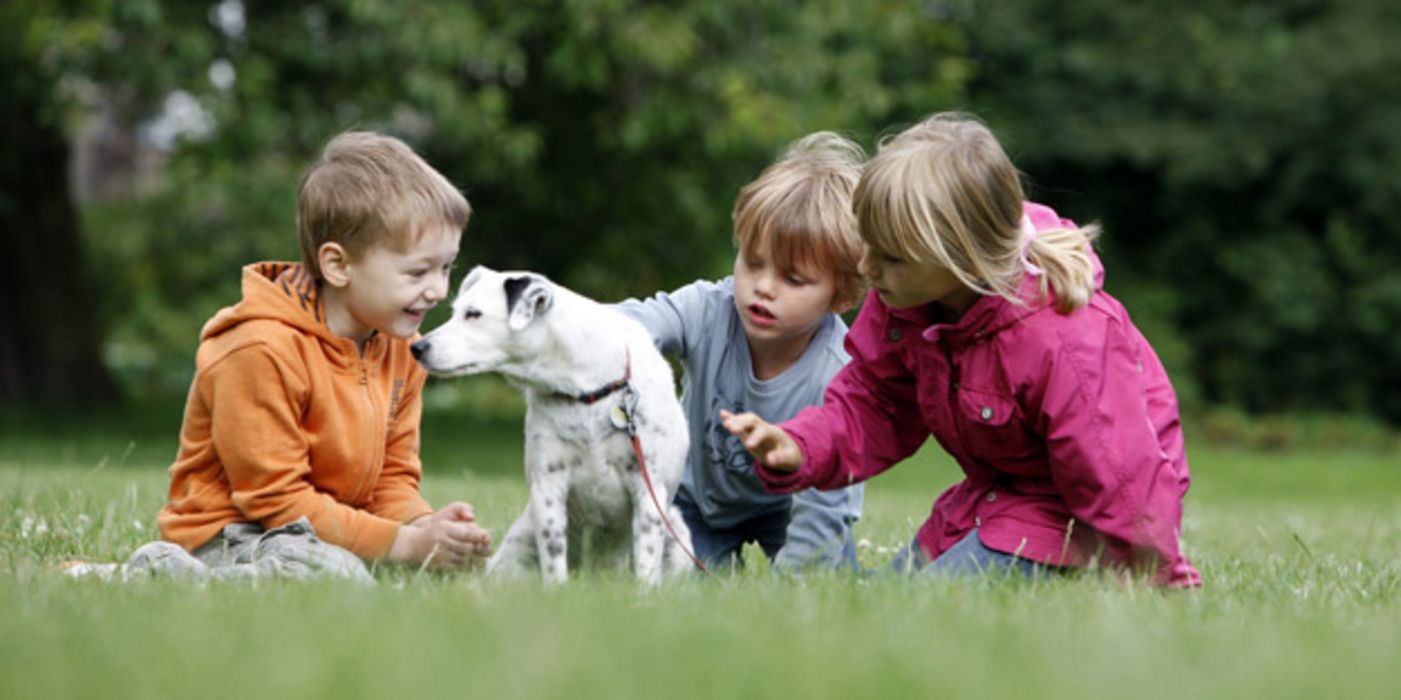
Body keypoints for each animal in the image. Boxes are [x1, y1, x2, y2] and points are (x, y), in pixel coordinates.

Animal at [409, 267, 692, 585]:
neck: (585, 392)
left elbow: (646, 560)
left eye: (474, 314)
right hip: (517, 548)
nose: (416, 347)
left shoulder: (647, 488)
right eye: (455, 311)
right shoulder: (549, 485)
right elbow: (554, 554)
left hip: (676, 535)